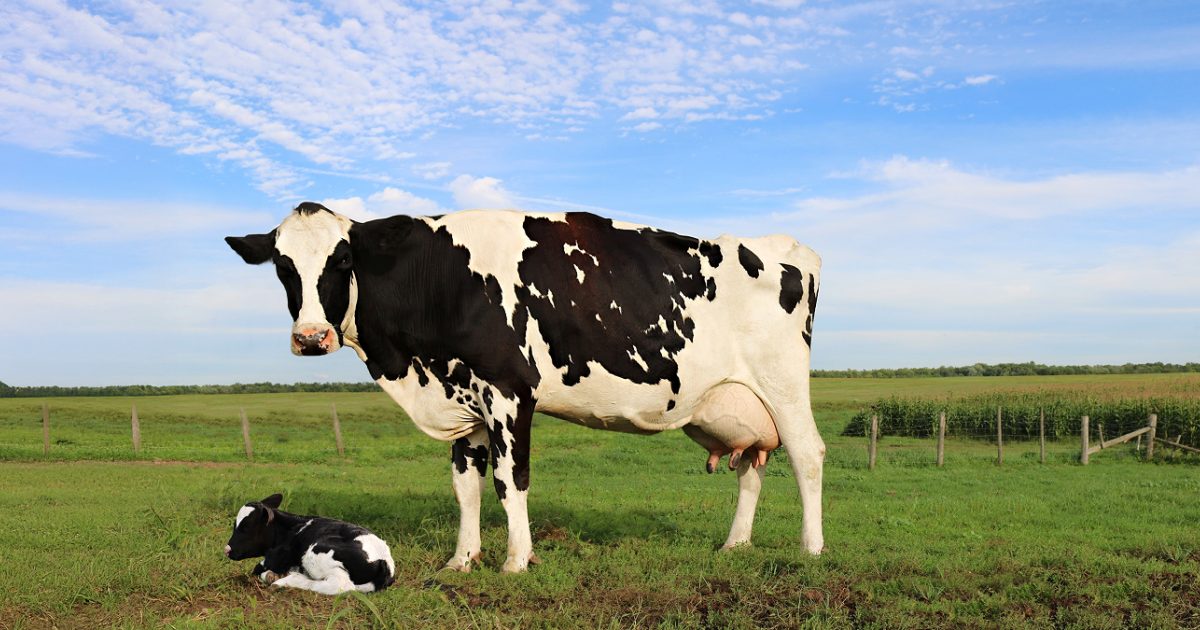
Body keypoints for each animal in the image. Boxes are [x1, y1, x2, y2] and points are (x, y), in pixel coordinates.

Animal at [224, 493, 396, 595]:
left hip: (317, 553)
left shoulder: (274, 558)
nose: (227, 549)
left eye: (246, 527)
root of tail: (384, 559)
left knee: (340, 585)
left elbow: (257, 569)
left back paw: (285, 580)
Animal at [226, 203, 824, 573]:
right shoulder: (463, 400)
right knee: (751, 467)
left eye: (344, 258)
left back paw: (811, 549)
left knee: (807, 455)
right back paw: (735, 544)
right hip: (740, 403)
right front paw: (462, 561)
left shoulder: (509, 390)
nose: (310, 336)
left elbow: (510, 482)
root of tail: (787, 246)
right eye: (281, 266)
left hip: (783, 385)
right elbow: (466, 488)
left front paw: (516, 561)